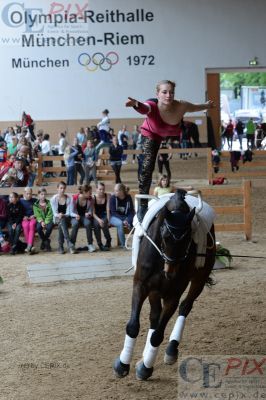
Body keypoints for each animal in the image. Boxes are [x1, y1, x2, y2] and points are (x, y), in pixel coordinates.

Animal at [112, 189, 216, 380]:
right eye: (166, 236)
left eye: (189, 238)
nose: (171, 273)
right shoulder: (141, 286)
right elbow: (133, 326)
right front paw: (122, 364)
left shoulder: (172, 295)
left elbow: (158, 335)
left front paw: (146, 368)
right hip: (155, 290)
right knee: (154, 316)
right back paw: (143, 356)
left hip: (199, 279)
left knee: (185, 307)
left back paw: (170, 350)